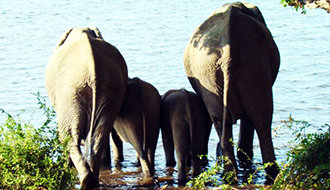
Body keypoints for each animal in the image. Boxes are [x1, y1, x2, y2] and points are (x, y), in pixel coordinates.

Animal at [45, 26, 128, 189]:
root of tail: (92, 69)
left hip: (70, 94)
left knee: (69, 135)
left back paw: (84, 179)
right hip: (111, 93)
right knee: (101, 133)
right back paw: (92, 179)